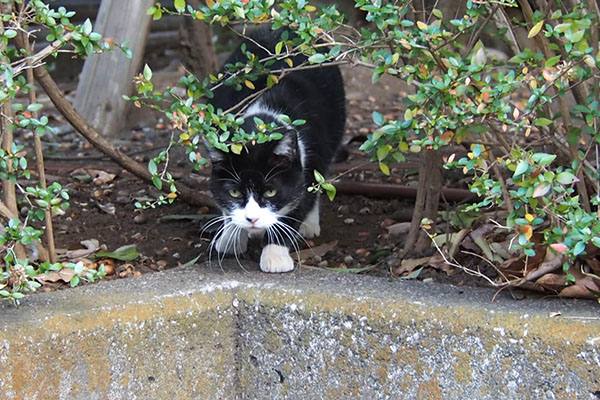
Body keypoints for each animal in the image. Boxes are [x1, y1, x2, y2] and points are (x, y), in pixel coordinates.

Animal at [207, 26, 344, 274]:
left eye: (271, 191)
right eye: (235, 192)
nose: (252, 220)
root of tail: (284, 27)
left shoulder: (309, 160)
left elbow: (299, 201)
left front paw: (275, 256)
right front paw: (231, 239)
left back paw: (310, 225)